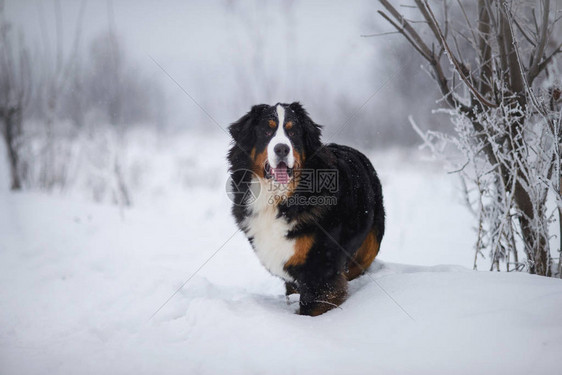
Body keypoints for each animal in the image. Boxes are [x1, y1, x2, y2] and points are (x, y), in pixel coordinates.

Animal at [225, 101, 382, 316]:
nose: (282, 149)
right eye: (267, 130)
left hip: (369, 246)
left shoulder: (320, 273)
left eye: (293, 132)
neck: (278, 198)